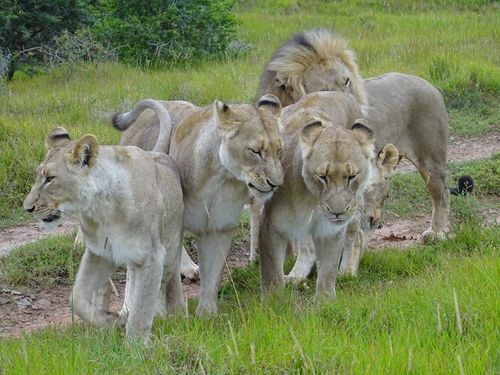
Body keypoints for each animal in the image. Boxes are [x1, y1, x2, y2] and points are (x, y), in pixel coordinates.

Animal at [22, 100, 187, 340]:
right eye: (37, 176)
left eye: (50, 179)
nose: (27, 208)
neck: (101, 210)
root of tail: (154, 153)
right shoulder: (100, 253)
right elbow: (77, 297)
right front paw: (111, 320)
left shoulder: (150, 256)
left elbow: (142, 310)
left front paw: (136, 346)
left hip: (170, 245)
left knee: (169, 279)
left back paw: (176, 314)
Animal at [112, 94, 284, 314]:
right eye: (255, 151)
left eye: (279, 151)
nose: (276, 183)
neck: (219, 178)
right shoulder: (171, 227)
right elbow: (170, 283)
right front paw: (174, 313)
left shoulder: (220, 227)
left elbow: (213, 273)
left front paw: (207, 314)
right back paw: (128, 307)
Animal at [258, 27, 450, 242]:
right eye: (325, 90)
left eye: (347, 82)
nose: (356, 110)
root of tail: (429, 84)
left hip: (430, 159)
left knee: (441, 194)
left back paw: (437, 232)